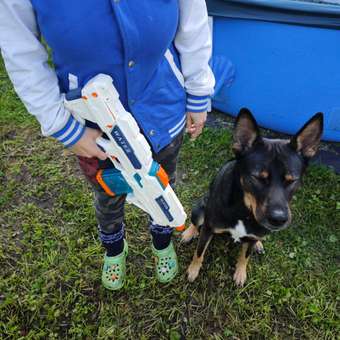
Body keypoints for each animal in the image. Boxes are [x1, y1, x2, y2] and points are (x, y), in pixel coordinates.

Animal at [182, 109, 322, 286]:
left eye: (292, 180)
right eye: (258, 177)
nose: (278, 219)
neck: (244, 211)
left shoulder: (253, 234)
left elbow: (245, 256)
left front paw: (240, 273)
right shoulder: (208, 228)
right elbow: (199, 252)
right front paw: (193, 270)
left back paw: (258, 244)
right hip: (200, 208)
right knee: (196, 222)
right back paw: (189, 233)